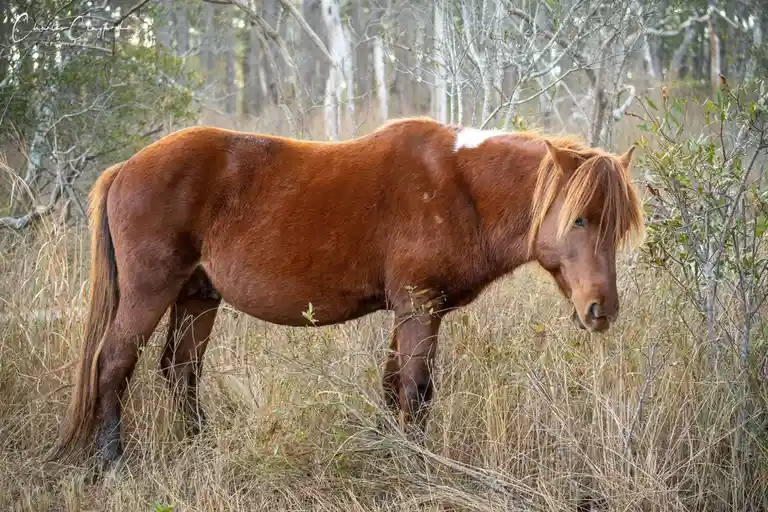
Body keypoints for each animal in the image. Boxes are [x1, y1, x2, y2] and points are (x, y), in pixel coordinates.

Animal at [50, 117, 644, 467]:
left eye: (616, 226)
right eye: (579, 219)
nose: (601, 310)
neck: (461, 187)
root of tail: (127, 167)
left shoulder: (409, 311)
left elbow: (392, 386)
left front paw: (385, 452)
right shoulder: (418, 308)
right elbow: (416, 390)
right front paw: (413, 466)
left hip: (197, 298)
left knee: (180, 370)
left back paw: (198, 445)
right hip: (150, 293)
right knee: (114, 362)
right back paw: (112, 460)